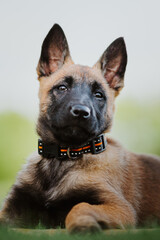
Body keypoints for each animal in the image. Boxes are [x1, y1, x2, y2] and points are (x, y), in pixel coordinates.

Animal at [0, 23, 160, 232]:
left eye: (99, 95)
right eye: (62, 88)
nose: (81, 112)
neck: (62, 159)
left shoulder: (119, 206)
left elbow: (80, 205)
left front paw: (82, 224)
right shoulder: (13, 208)